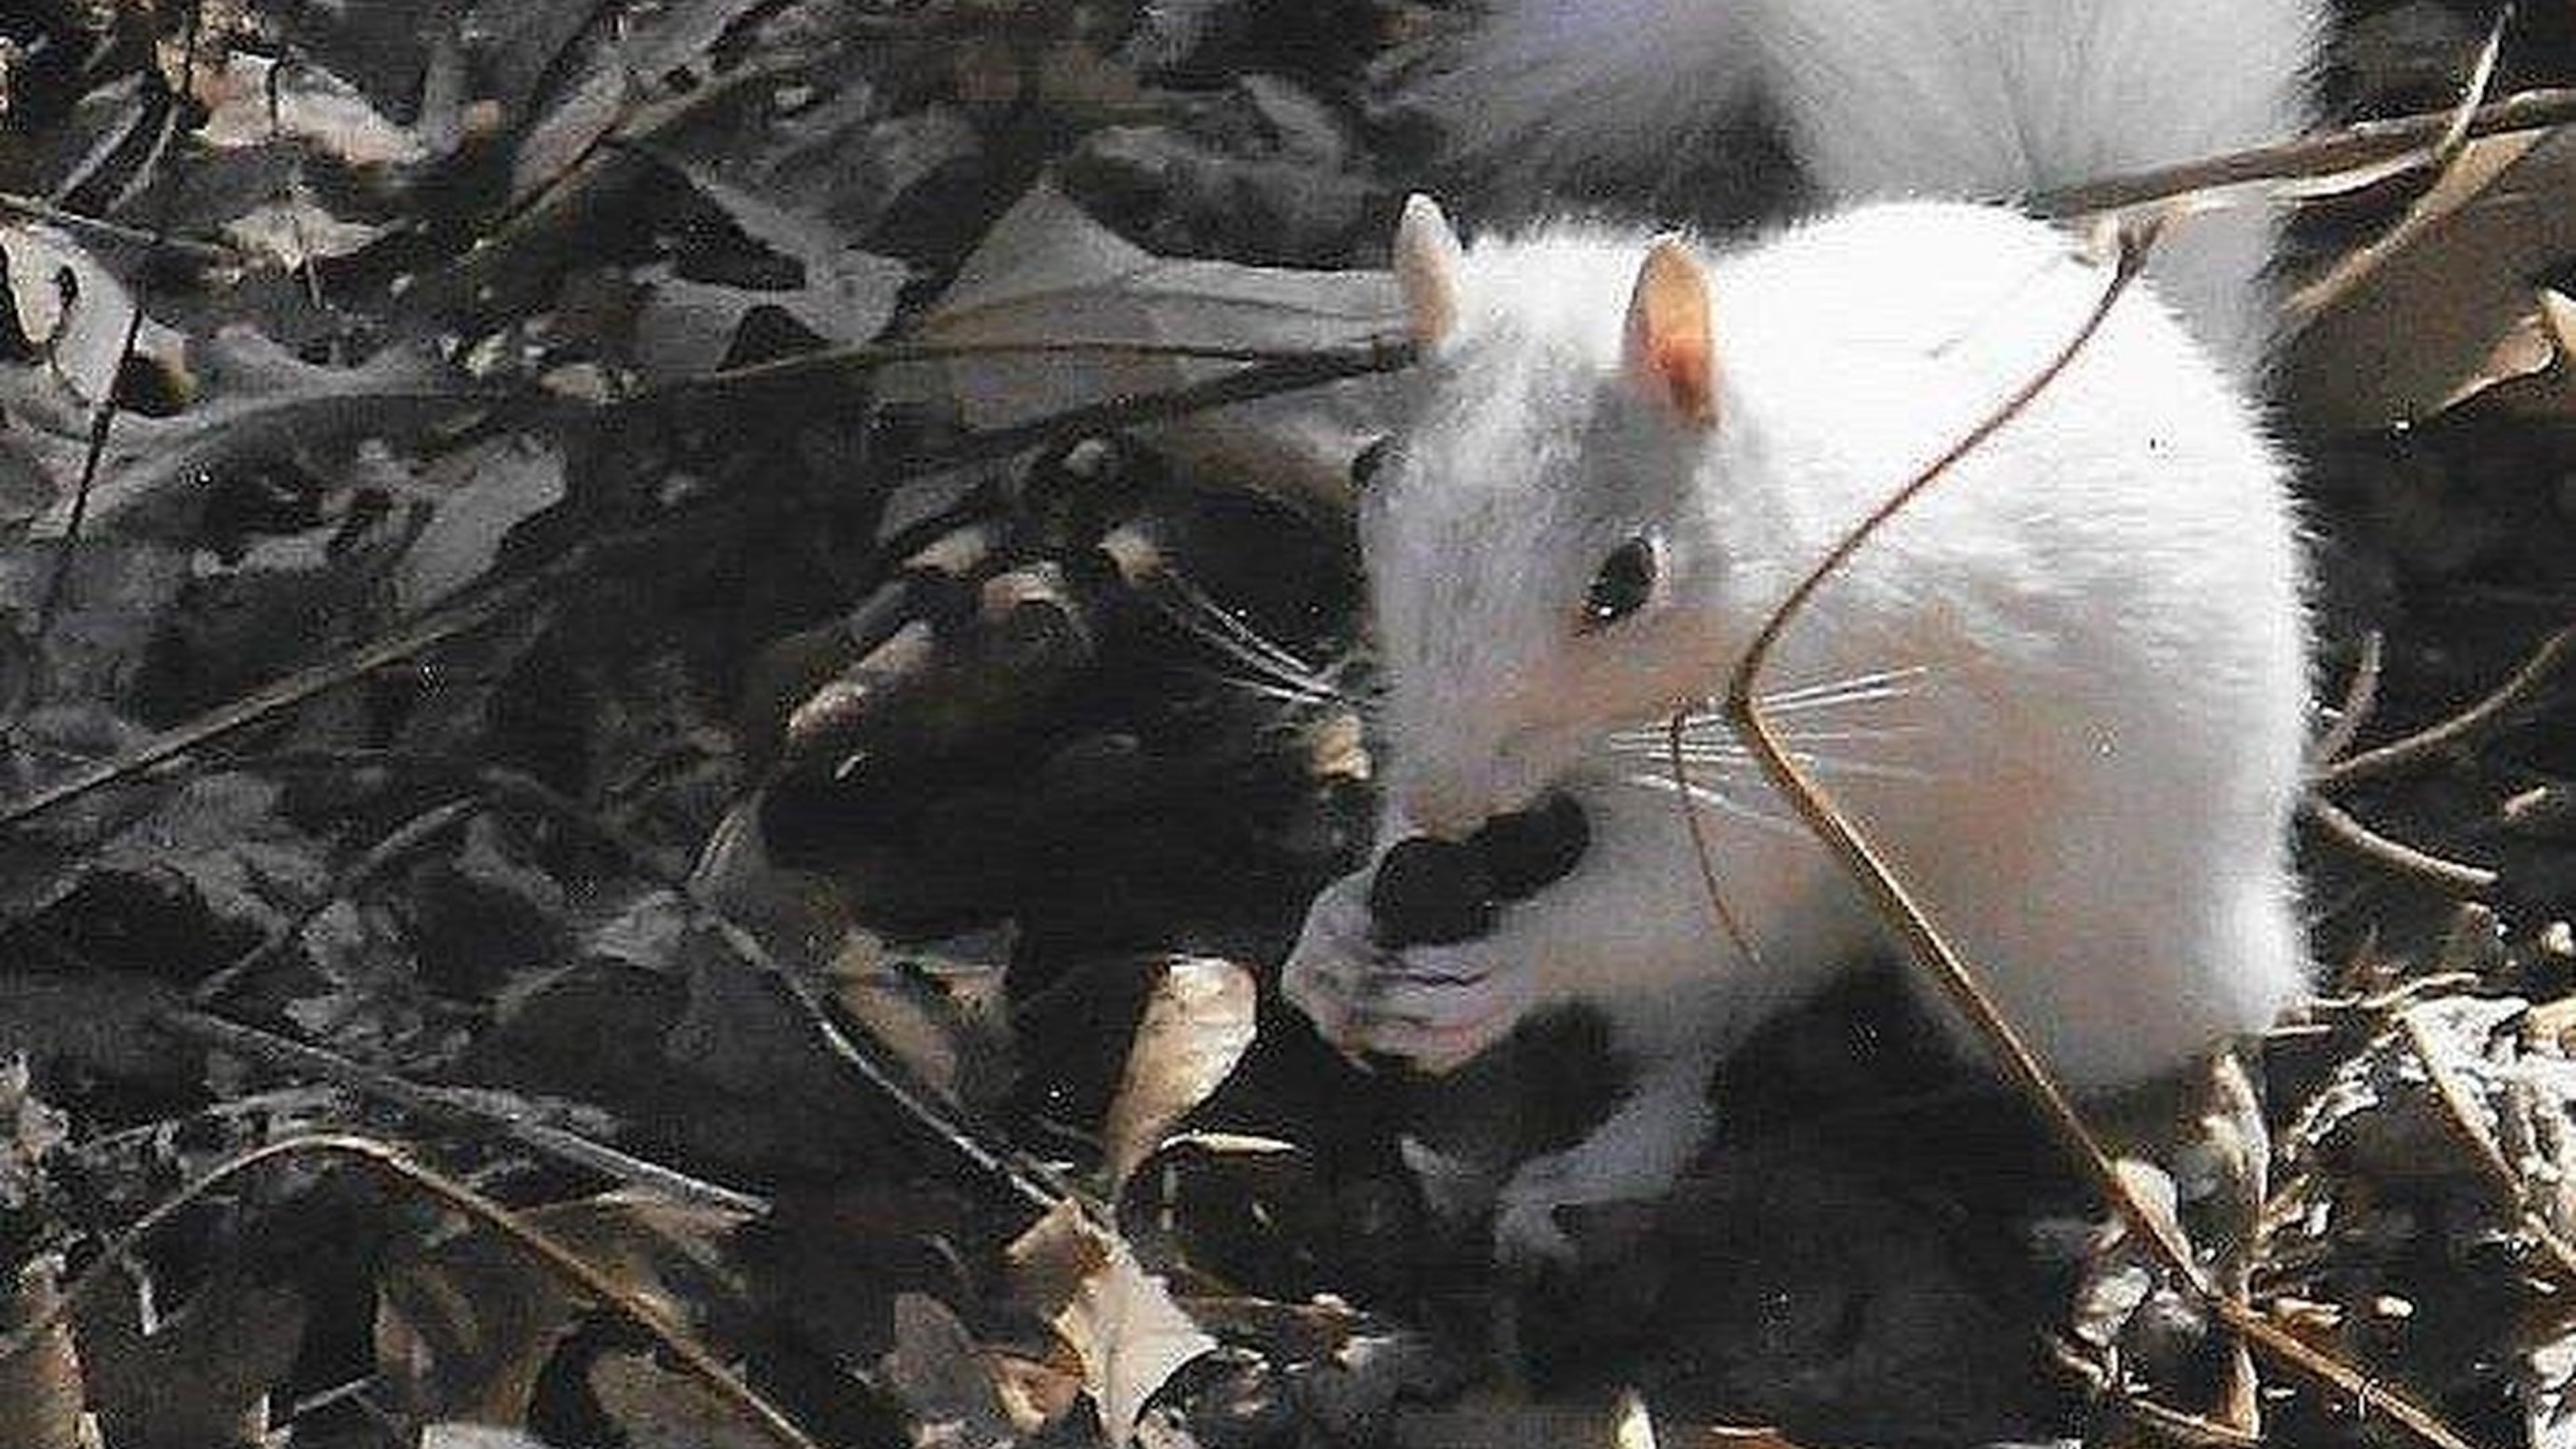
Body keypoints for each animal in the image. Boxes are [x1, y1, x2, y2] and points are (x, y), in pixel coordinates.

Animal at [1281, 194, 2313, 1267]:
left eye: (1627, 580)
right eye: (1369, 476)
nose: (1451, 806)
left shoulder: (1797, 756)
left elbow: (1669, 903)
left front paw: (1511, 961)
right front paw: (1334, 931)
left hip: (2082, 965)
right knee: (1690, 1064)